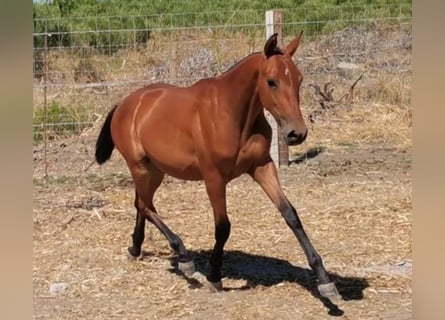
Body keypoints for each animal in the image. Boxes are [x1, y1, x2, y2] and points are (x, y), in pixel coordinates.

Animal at [93, 32, 336, 300]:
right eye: (271, 81)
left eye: (299, 79)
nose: (297, 133)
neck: (231, 114)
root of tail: (124, 104)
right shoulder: (214, 178)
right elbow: (223, 227)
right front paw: (214, 277)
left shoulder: (262, 167)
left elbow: (290, 214)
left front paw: (325, 281)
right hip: (139, 167)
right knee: (144, 206)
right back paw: (184, 257)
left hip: (155, 170)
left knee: (142, 204)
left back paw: (136, 249)